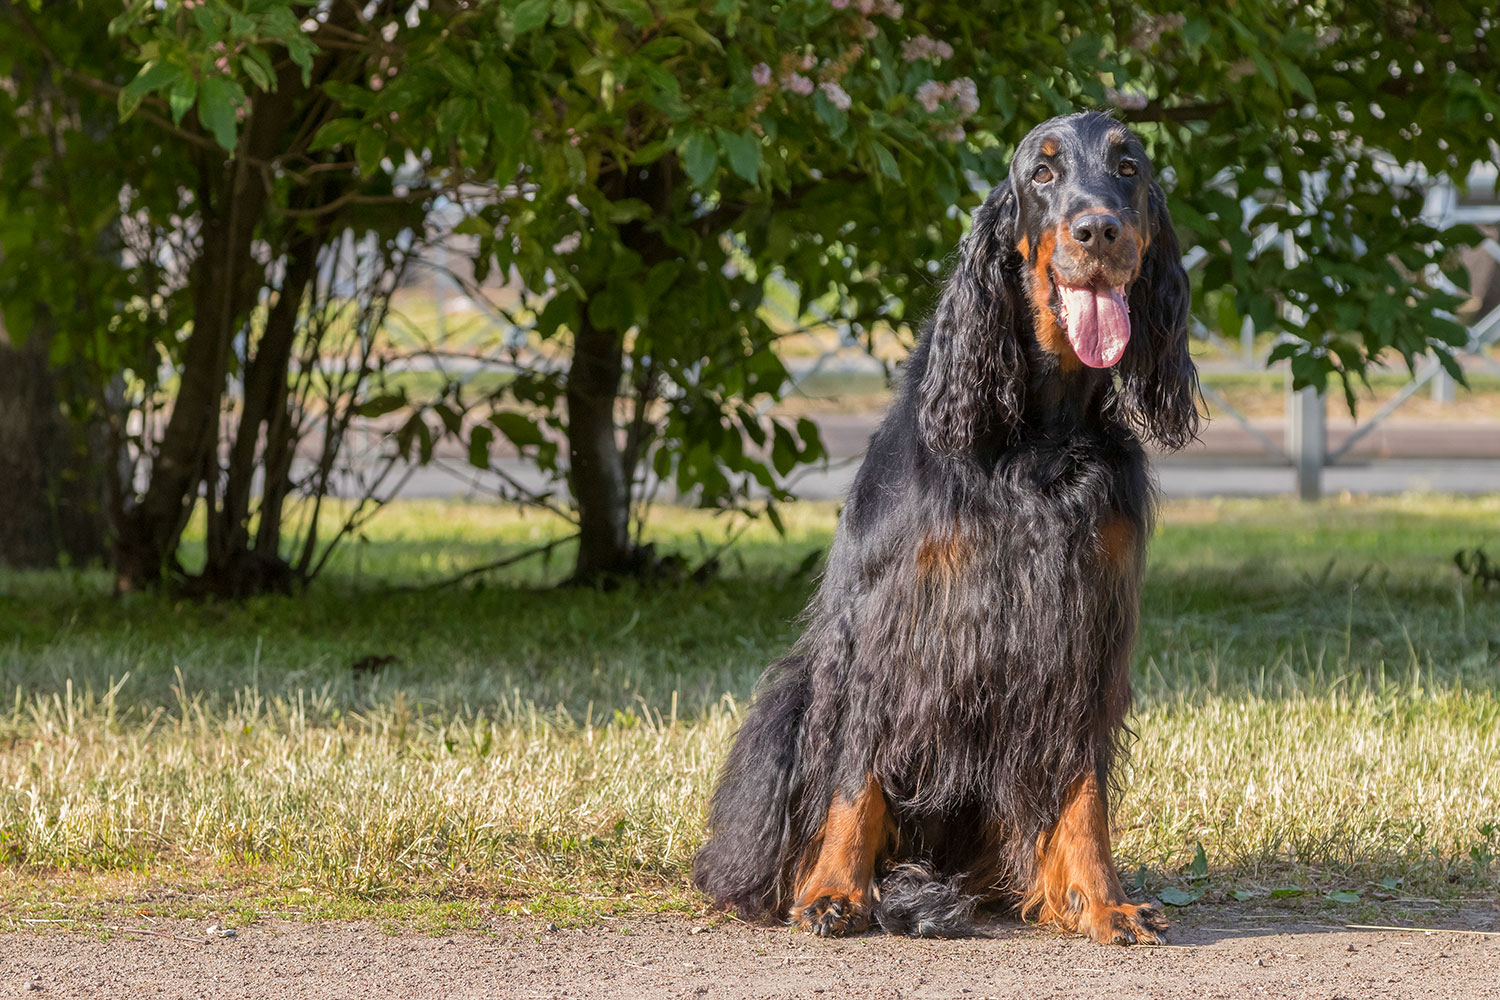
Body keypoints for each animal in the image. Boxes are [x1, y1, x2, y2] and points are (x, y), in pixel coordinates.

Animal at [696, 115, 1200, 947]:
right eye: (1041, 174)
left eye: (1128, 167)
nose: (1099, 229)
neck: (1038, 432)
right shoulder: (887, 628)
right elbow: (856, 776)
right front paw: (834, 892)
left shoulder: (1085, 631)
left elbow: (1083, 789)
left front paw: (1101, 901)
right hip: (792, 701)